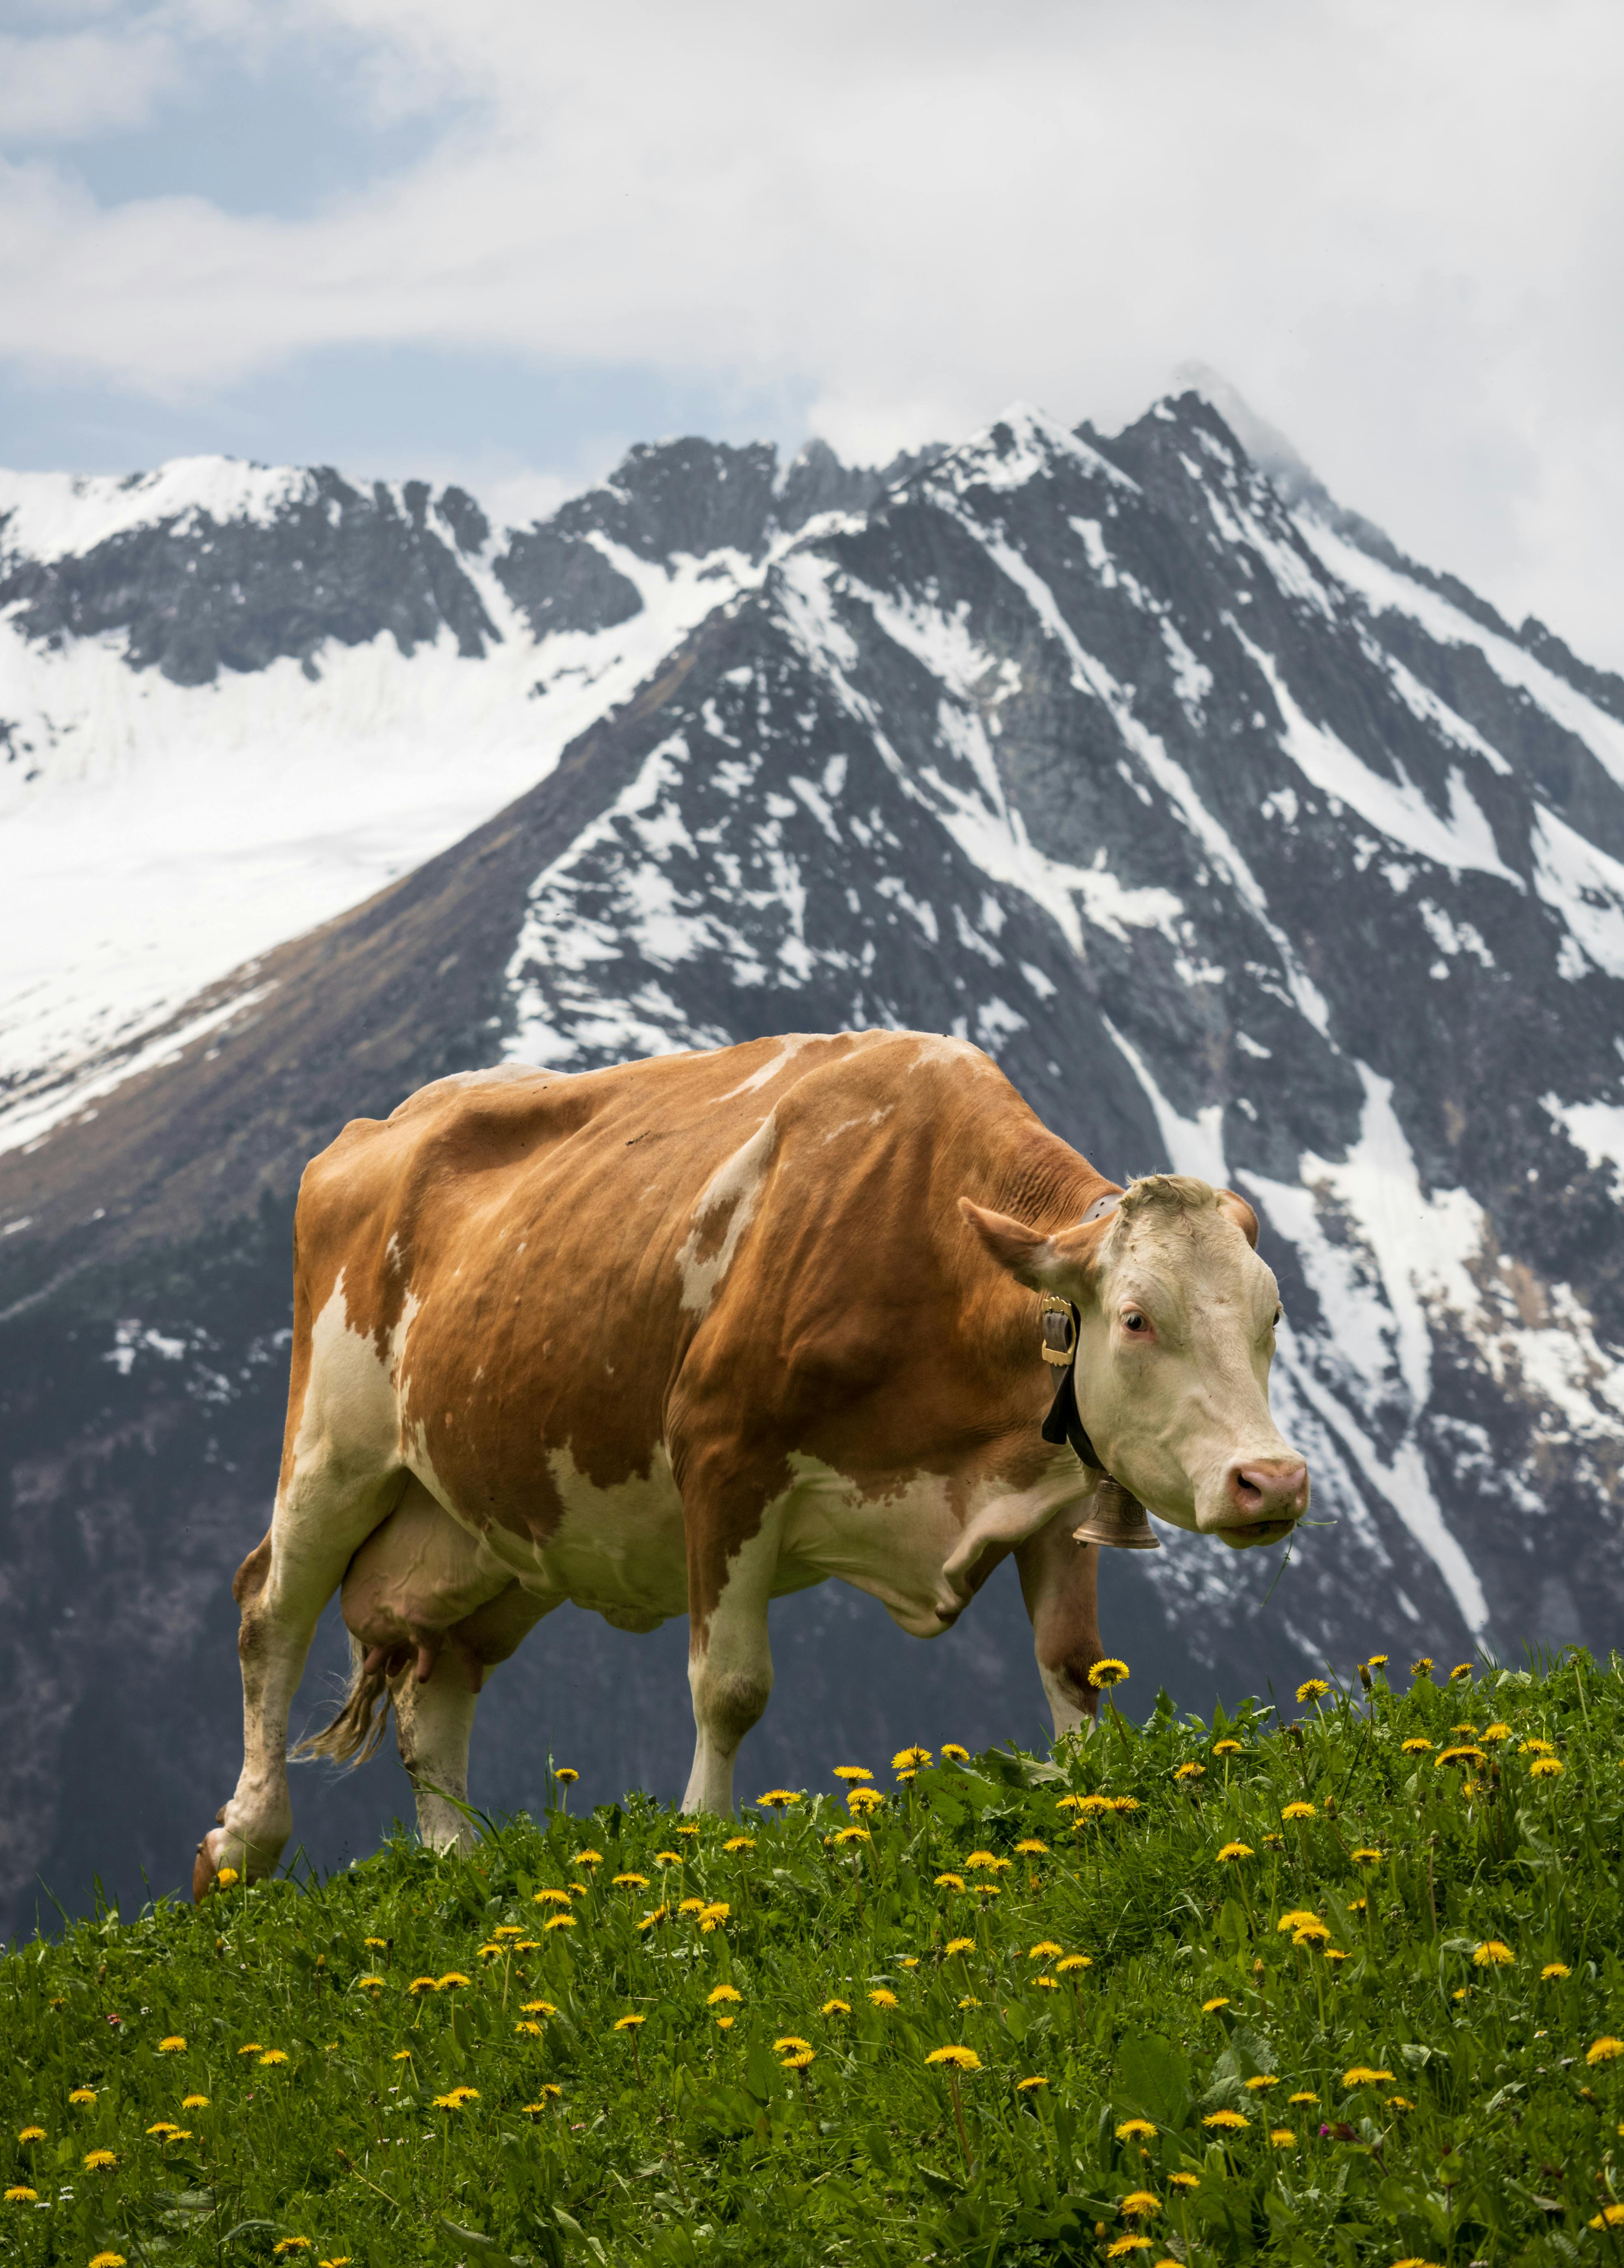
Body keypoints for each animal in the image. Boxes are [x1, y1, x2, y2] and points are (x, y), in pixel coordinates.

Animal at [190, 1034, 1306, 1896]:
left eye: (1271, 1315)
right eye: (1136, 1318)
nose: (1273, 1481)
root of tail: (379, 1128)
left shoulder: (1050, 1486)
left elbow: (1072, 1662)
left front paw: (1088, 1790)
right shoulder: (723, 1460)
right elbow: (728, 1686)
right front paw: (702, 1838)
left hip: (492, 1532)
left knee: (436, 1685)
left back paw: (458, 1862)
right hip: (333, 1453)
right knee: (269, 1611)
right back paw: (243, 1846)